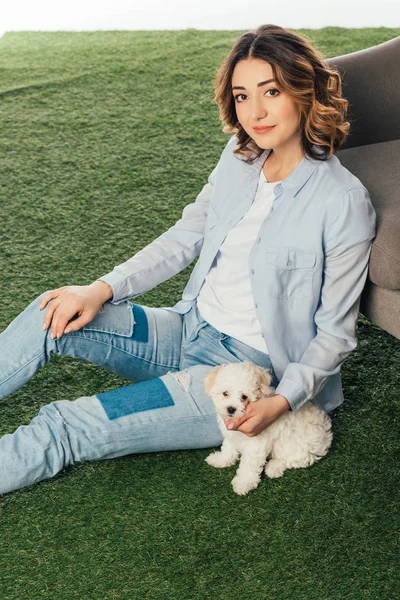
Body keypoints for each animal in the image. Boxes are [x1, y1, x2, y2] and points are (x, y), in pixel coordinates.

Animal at [205, 360, 332, 496]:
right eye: (225, 393)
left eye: (244, 397)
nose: (231, 409)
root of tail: (326, 436)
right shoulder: (231, 435)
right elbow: (228, 448)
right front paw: (220, 459)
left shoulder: (256, 444)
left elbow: (249, 465)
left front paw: (243, 483)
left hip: (295, 446)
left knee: (294, 459)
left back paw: (273, 468)